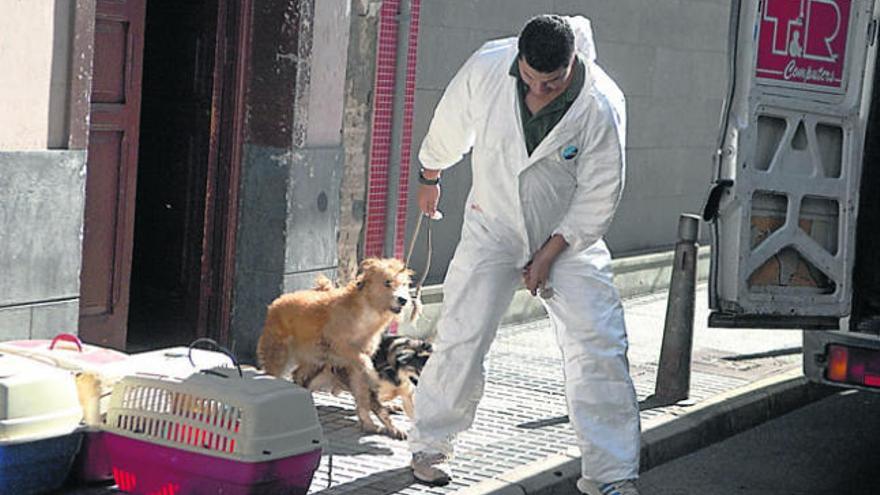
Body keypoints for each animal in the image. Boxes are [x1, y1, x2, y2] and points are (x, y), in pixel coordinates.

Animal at [256, 258, 414, 440]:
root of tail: (278, 301)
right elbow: (364, 363)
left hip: (313, 359)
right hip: (279, 355)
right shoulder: (339, 347)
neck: (367, 314)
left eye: (404, 284)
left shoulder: (354, 367)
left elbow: (363, 397)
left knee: (299, 376)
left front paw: (369, 424)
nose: (403, 300)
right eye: (387, 282)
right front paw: (373, 376)